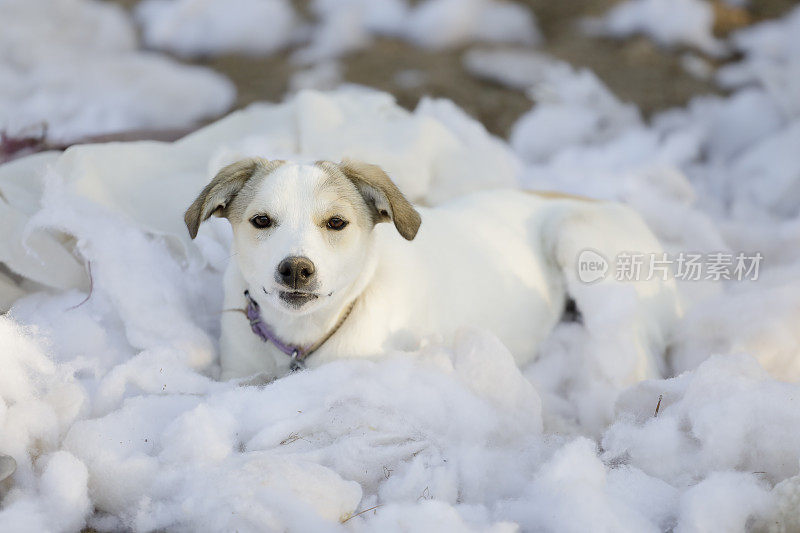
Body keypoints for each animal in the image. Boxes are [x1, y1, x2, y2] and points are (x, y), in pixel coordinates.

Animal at [184, 159, 680, 382]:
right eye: (261, 221)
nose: (295, 270)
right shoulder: (237, 372)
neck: (305, 335)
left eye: (337, 223)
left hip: (579, 238)